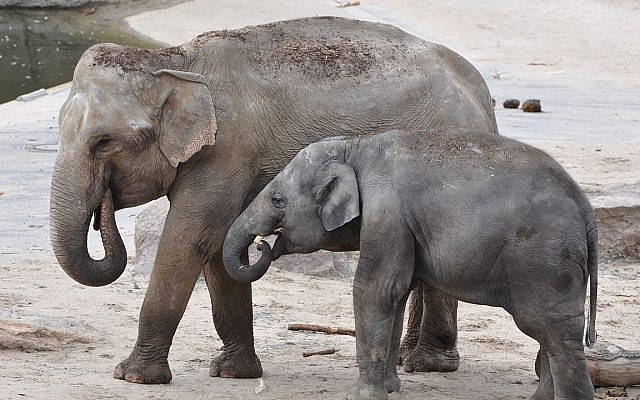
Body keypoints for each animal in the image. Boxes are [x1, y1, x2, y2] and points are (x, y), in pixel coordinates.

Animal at [50, 16, 498, 384]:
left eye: (104, 142)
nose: (103, 207)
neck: (174, 61)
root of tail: (481, 92)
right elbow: (219, 245)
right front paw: (233, 372)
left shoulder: (227, 149)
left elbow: (191, 239)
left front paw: (133, 376)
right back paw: (409, 358)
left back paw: (429, 363)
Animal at [222, 130, 596, 398]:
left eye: (277, 200)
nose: (262, 244)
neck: (355, 146)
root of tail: (585, 206)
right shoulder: (399, 227)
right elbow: (396, 295)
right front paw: (390, 389)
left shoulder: (387, 214)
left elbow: (375, 290)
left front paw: (361, 396)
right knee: (551, 336)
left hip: (545, 263)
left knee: (554, 333)